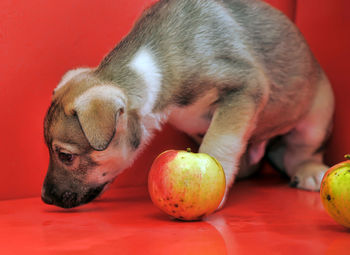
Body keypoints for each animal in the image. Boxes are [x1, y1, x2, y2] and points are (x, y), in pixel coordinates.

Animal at [41, 0, 334, 208]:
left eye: (66, 156)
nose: (44, 198)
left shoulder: (245, 87)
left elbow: (220, 142)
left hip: (317, 116)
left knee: (300, 152)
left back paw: (308, 172)